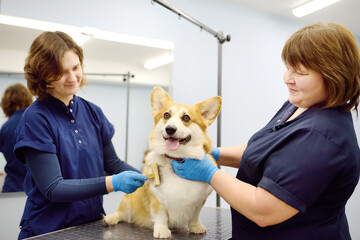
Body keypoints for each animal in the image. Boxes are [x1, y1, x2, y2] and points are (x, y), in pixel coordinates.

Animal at [103, 86, 222, 238]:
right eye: (166, 115)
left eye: (186, 118)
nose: (170, 129)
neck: (175, 159)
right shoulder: (157, 200)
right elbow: (161, 217)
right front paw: (162, 230)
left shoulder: (199, 202)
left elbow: (195, 216)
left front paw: (196, 227)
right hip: (129, 200)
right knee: (121, 213)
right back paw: (110, 218)